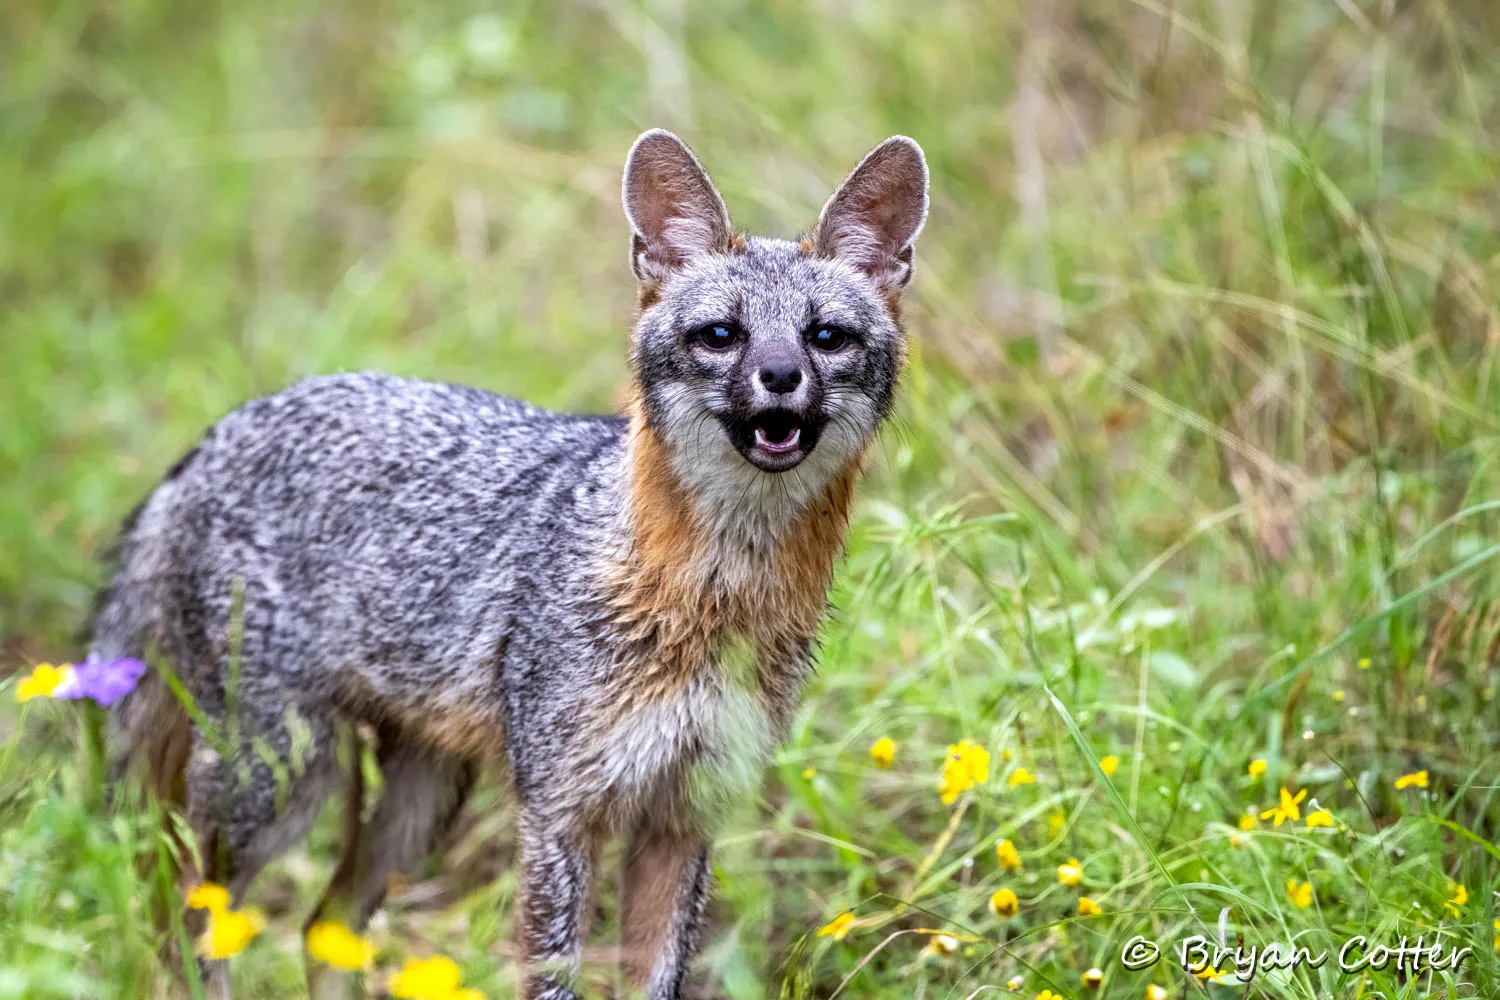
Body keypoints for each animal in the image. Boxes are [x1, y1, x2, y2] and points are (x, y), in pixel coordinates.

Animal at [95, 129, 928, 999]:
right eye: (721, 335)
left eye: (825, 337)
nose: (780, 378)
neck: (712, 597)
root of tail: (210, 440)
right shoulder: (558, 811)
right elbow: (552, 976)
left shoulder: (686, 814)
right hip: (279, 781)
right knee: (187, 920)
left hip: (419, 806)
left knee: (323, 928)